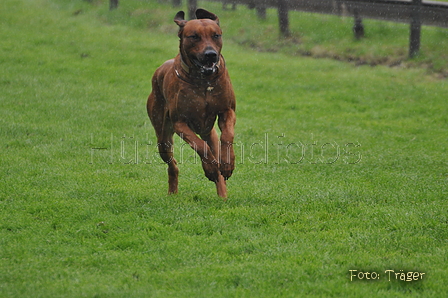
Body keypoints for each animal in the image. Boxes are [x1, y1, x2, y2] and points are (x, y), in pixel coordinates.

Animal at [148, 9, 238, 199]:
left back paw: (222, 193)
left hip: (209, 133)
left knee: (214, 147)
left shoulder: (227, 111)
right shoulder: (180, 123)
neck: (203, 81)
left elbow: (227, 136)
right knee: (173, 164)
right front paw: (210, 168)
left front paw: (228, 164)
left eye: (216, 35)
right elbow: (200, 146)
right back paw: (174, 190)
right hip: (163, 137)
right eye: (194, 36)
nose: (210, 54)